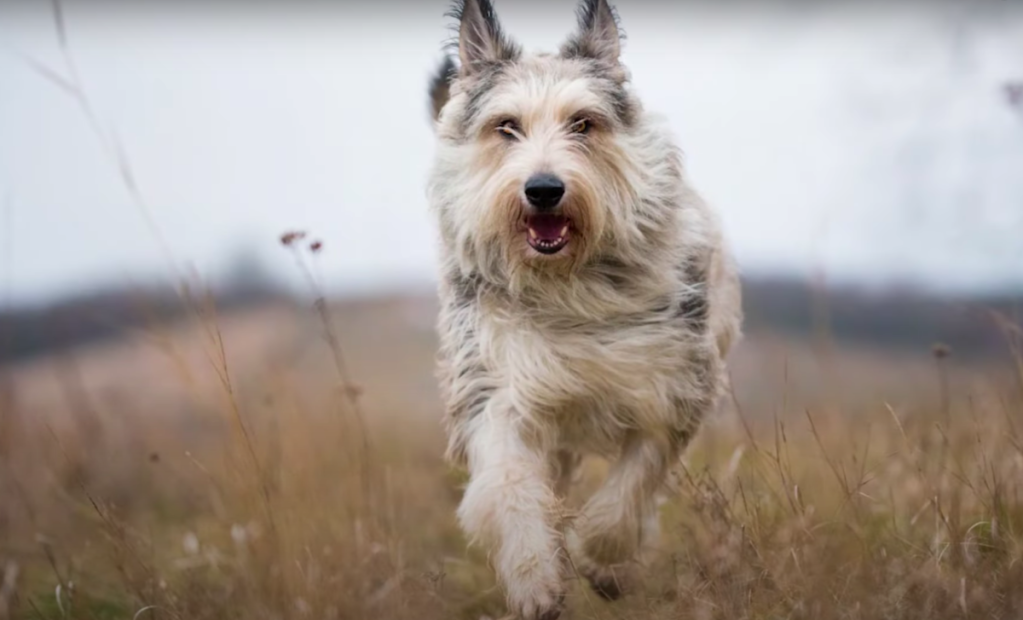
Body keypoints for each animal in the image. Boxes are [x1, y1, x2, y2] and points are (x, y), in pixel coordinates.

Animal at [425, 2, 744, 617]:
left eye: (583, 124)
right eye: (506, 126)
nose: (544, 188)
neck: (568, 283)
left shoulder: (673, 382)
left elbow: (634, 484)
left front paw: (601, 558)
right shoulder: (496, 382)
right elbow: (509, 485)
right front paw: (535, 579)